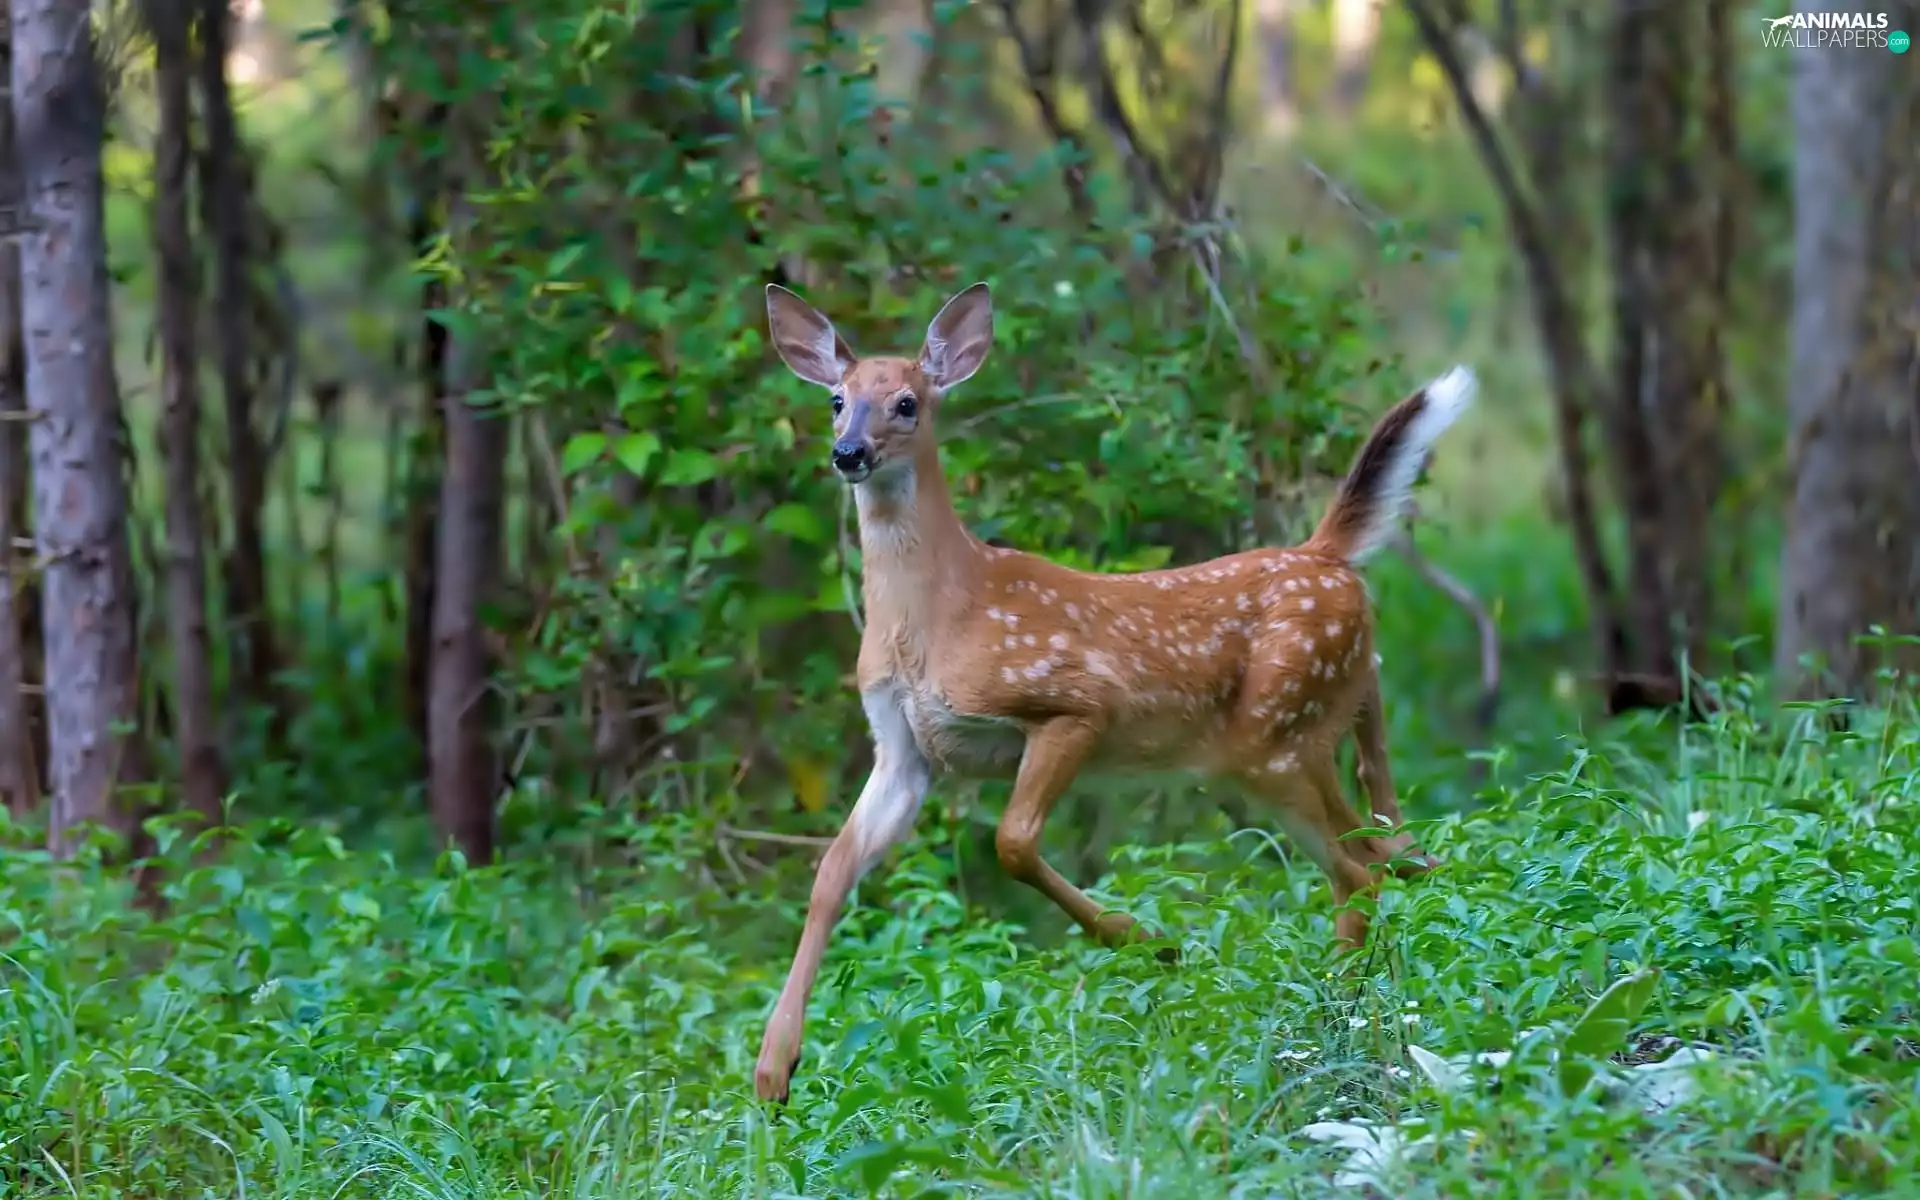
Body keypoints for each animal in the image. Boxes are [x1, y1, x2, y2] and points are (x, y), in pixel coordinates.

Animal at [753, 280, 1476, 1104]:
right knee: (1395, 855)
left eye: (907, 402)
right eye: (836, 400)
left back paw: (1334, 1024)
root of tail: (1327, 555)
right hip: (1324, 718)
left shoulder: (1074, 705)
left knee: (1360, 873)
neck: (939, 618)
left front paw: (1148, 942)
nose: (849, 453)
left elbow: (1012, 841)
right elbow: (831, 872)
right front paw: (774, 1069)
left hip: (1275, 736)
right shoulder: (904, 750)